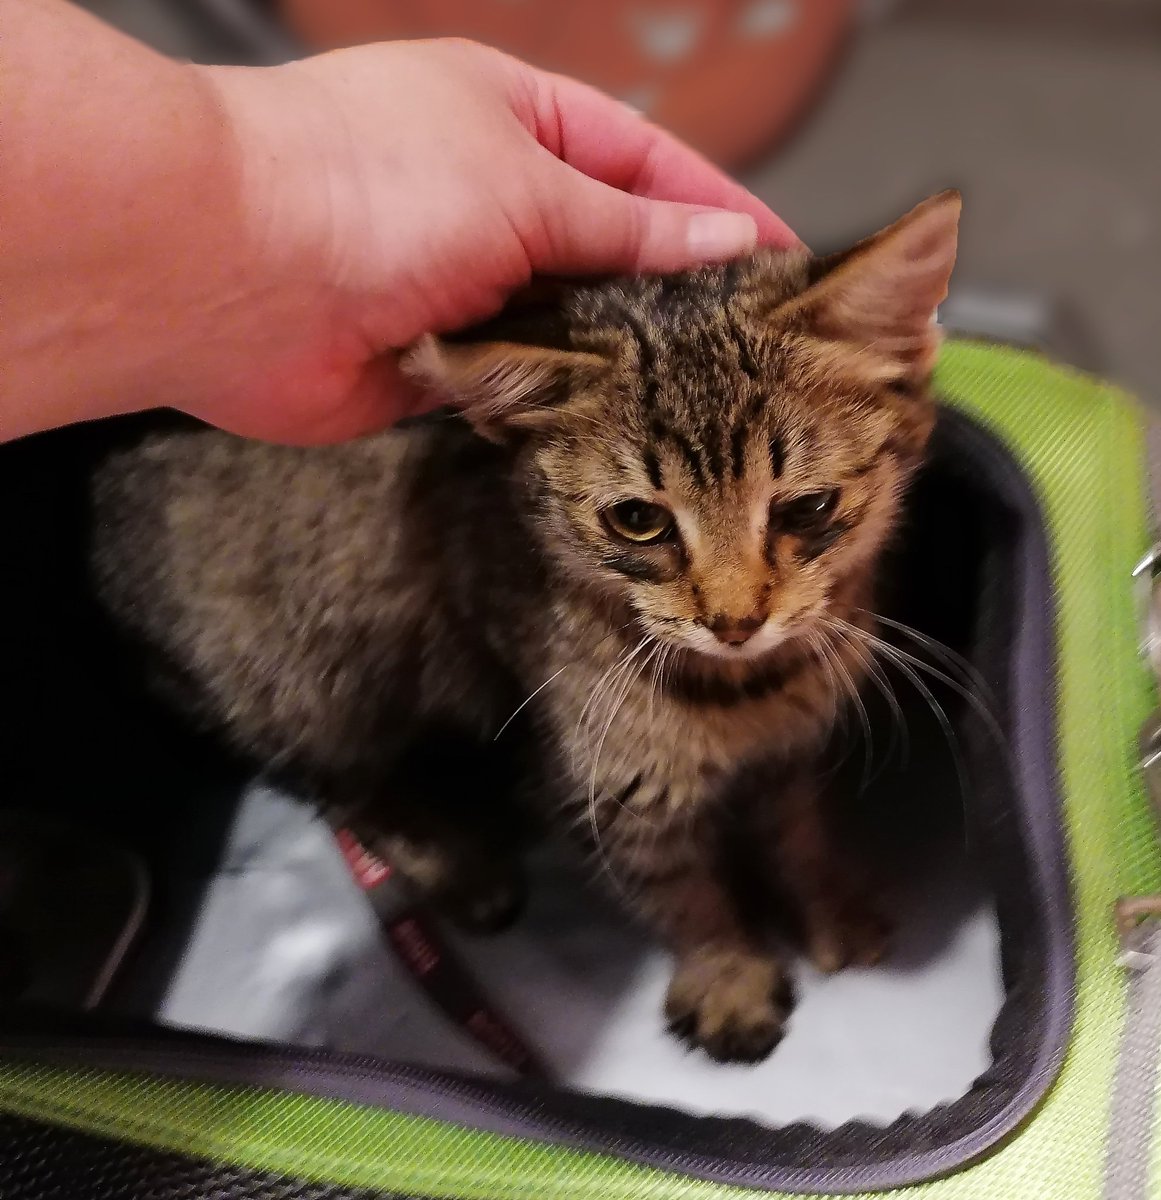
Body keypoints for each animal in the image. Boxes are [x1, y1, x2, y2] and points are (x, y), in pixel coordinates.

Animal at [90, 192, 959, 1065]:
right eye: (638, 521)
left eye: (808, 507)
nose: (735, 620)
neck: (747, 691)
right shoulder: (602, 786)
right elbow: (682, 895)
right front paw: (727, 977)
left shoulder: (789, 755)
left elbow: (797, 836)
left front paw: (828, 908)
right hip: (300, 688)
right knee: (343, 790)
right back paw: (456, 868)